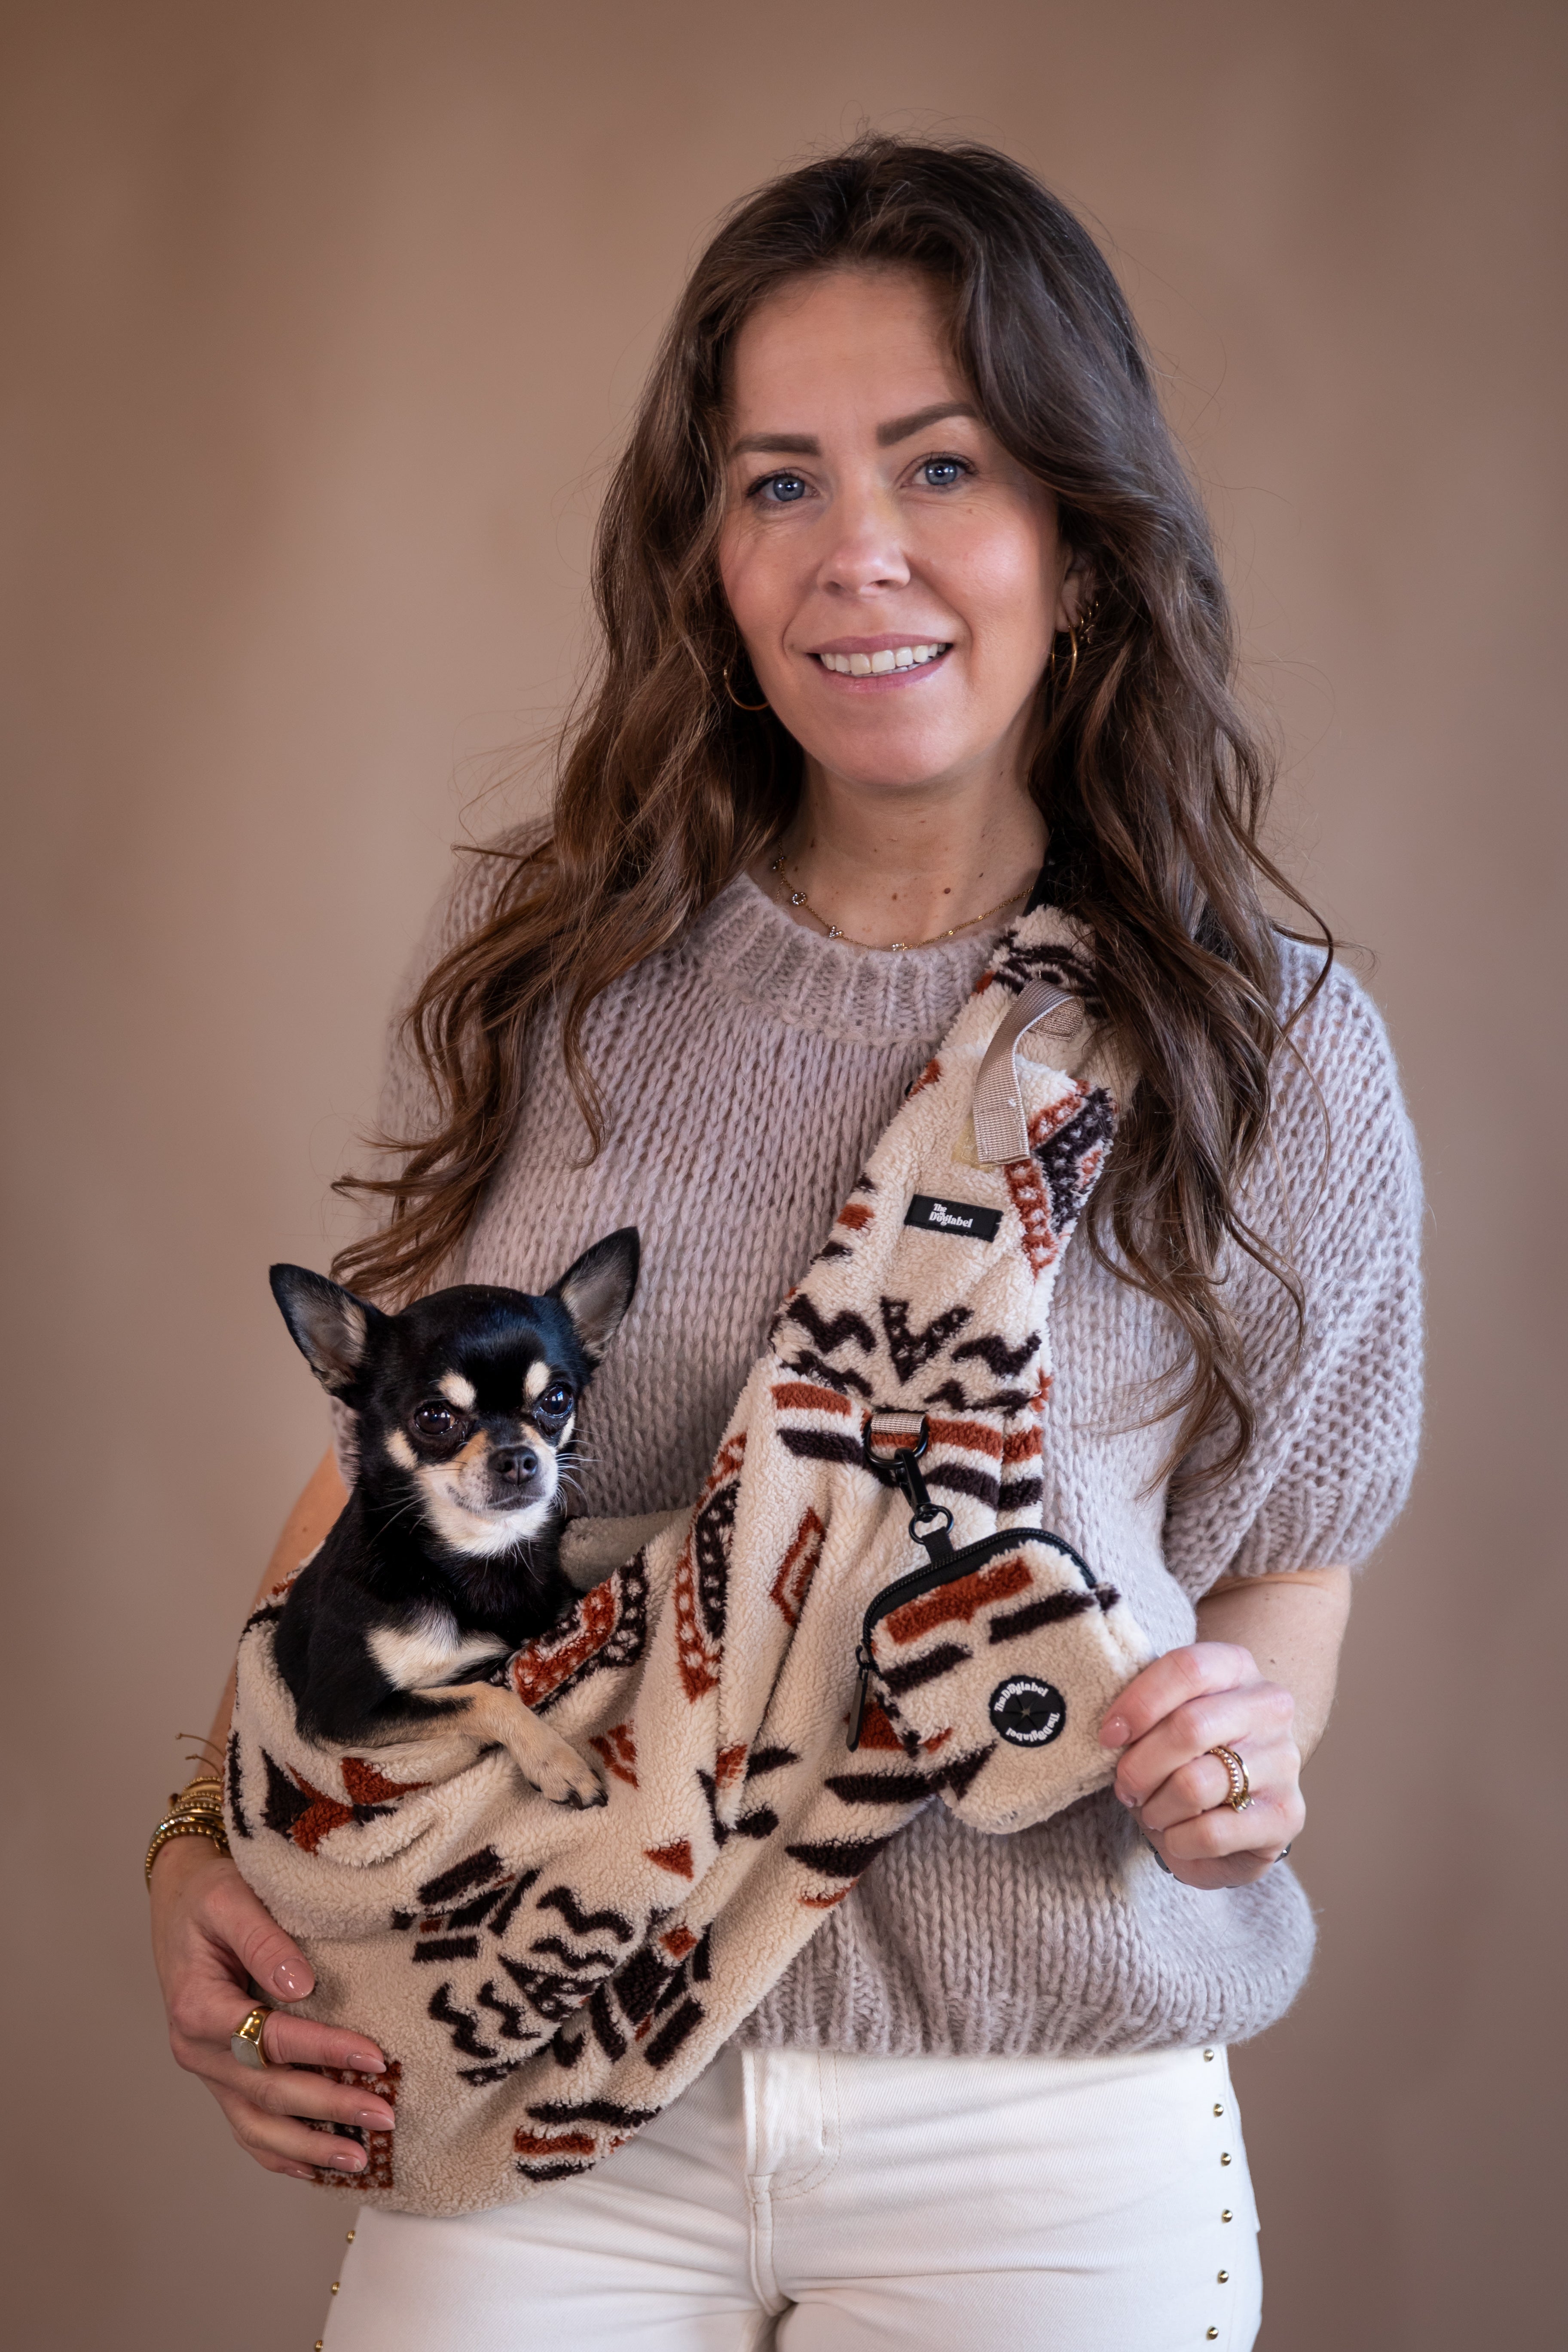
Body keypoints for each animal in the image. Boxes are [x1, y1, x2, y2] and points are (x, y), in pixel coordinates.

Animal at [265, 1228, 640, 1807]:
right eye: (435, 1418)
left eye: (557, 1399)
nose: (518, 1458)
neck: (477, 1552)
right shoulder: (339, 1713)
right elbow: (483, 1695)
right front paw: (556, 1760)